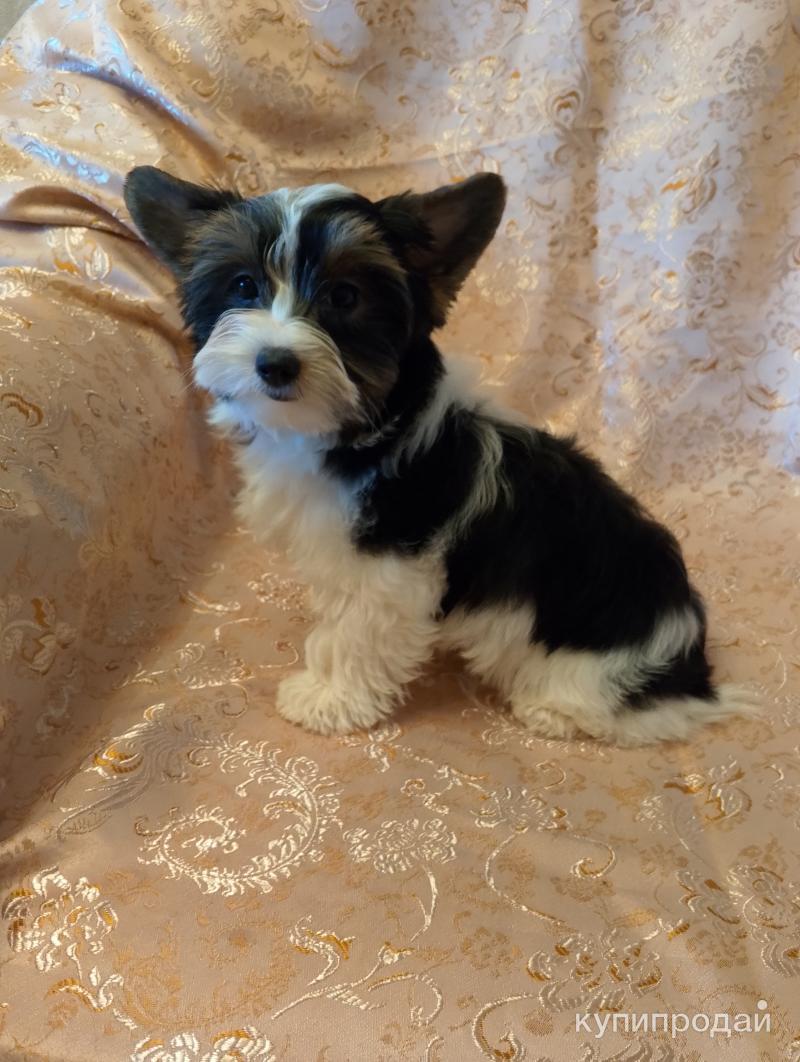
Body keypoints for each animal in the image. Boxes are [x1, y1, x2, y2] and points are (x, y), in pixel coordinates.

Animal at [124, 166, 749, 745]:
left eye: (344, 297)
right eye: (243, 286)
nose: (275, 362)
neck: (362, 424)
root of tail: (691, 660)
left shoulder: (390, 567)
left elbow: (356, 630)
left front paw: (330, 697)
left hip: (595, 657)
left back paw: (556, 711)